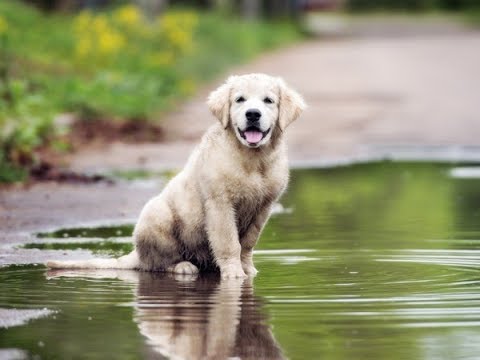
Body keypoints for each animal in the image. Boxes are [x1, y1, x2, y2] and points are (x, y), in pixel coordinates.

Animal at [47, 71, 306, 278]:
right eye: (239, 100)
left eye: (268, 101)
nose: (253, 114)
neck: (253, 159)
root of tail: (136, 253)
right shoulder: (220, 204)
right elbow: (229, 242)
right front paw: (234, 274)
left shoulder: (263, 207)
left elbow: (248, 243)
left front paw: (248, 269)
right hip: (157, 215)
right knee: (156, 263)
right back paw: (182, 267)